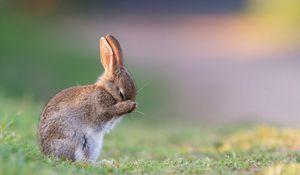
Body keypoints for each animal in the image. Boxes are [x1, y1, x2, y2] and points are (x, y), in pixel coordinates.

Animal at [37, 34, 137, 163]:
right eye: (121, 94)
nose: (134, 104)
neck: (107, 90)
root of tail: (47, 153)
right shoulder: (100, 109)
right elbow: (108, 112)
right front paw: (128, 105)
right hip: (77, 140)